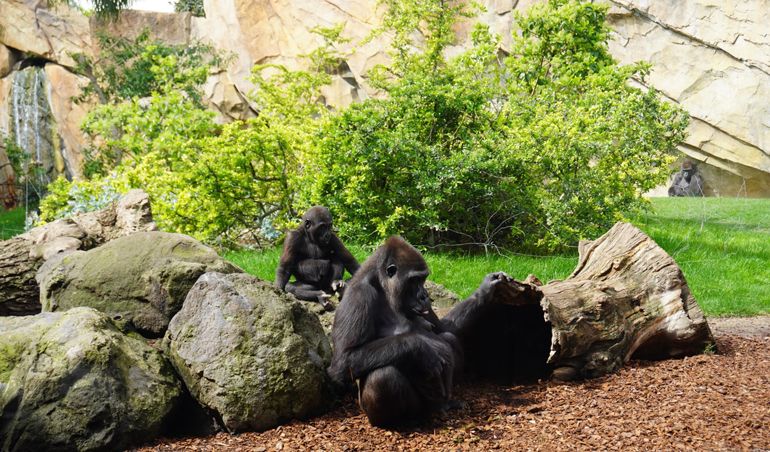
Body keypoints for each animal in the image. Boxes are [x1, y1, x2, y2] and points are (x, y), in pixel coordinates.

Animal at [327, 236, 510, 427]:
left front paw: (485, 290)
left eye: (423, 279)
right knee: (383, 375)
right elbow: (344, 360)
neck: (384, 287)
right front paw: (421, 349)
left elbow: (445, 328)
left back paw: (447, 404)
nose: (424, 295)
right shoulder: (359, 295)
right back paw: (402, 422)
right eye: (414, 280)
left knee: (448, 337)